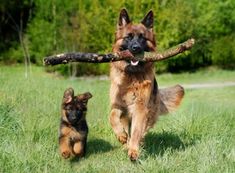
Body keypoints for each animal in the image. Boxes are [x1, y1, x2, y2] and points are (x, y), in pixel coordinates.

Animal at [109, 9, 185, 161]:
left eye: (142, 38)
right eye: (128, 37)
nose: (136, 48)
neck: (131, 76)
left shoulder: (140, 108)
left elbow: (136, 131)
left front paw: (133, 151)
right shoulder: (118, 105)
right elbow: (112, 116)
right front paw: (121, 135)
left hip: (149, 113)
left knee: (141, 131)